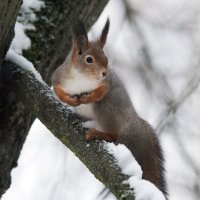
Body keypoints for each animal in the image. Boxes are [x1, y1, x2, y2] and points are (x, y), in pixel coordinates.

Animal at [51, 19, 167, 198]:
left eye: (105, 57)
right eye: (89, 59)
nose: (104, 72)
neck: (81, 78)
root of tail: (130, 122)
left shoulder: (107, 83)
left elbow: (101, 91)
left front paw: (87, 98)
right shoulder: (58, 78)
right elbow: (57, 90)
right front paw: (70, 101)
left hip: (106, 108)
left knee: (114, 136)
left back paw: (98, 133)